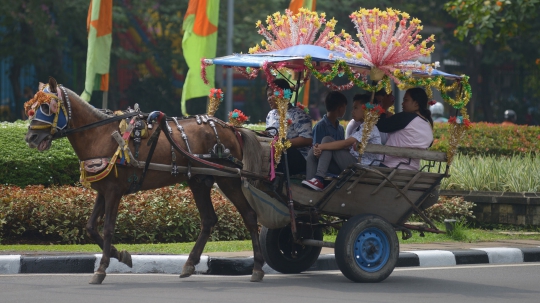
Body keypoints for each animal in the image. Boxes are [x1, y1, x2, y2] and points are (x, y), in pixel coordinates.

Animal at [25, 77, 266, 284]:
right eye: (32, 108)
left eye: (46, 108)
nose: (31, 138)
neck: (100, 135)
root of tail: (231, 128)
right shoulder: (103, 190)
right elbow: (91, 227)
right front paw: (122, 255)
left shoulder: (114, 191)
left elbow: (108, 229)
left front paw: (101, 269)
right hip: (199, 180)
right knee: (208, 219)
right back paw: (189, 264)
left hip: (228, 179)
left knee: (249, 215)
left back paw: (257, 268)